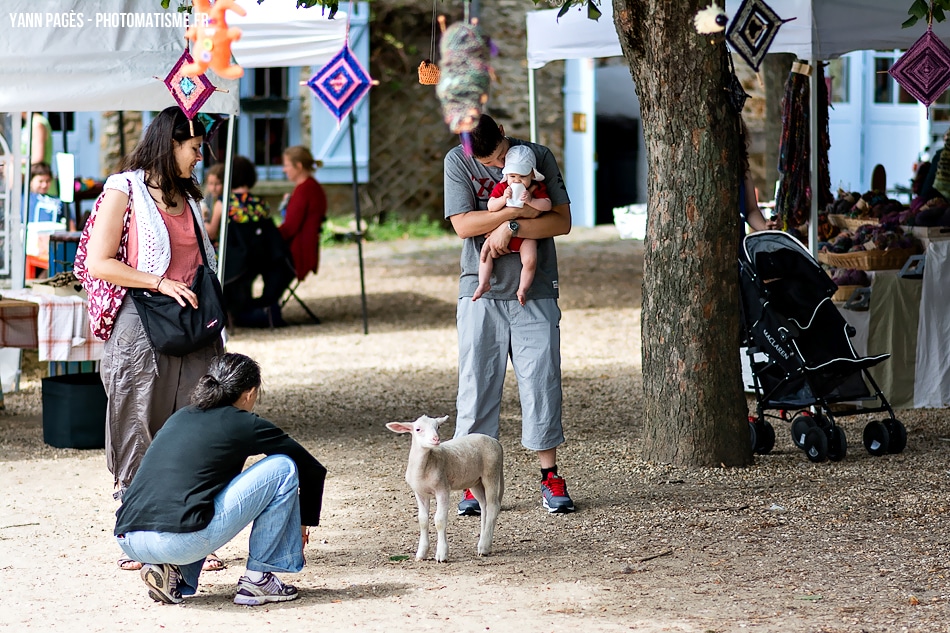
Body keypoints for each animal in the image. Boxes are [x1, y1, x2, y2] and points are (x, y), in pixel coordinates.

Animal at [386, 414, 506, 564]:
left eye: (438, 427)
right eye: (418, 429)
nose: (436, 439)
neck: (426, 465)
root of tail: (495, 441)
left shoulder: (442, 489)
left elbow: (439, 520)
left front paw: (442, 554)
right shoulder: (420, 493)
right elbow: (423, 520)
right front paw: (421, 553)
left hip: (491, 473)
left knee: (493, 506)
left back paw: (484, 547)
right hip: (475, 481)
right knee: (484, 506)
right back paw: (483, 543)